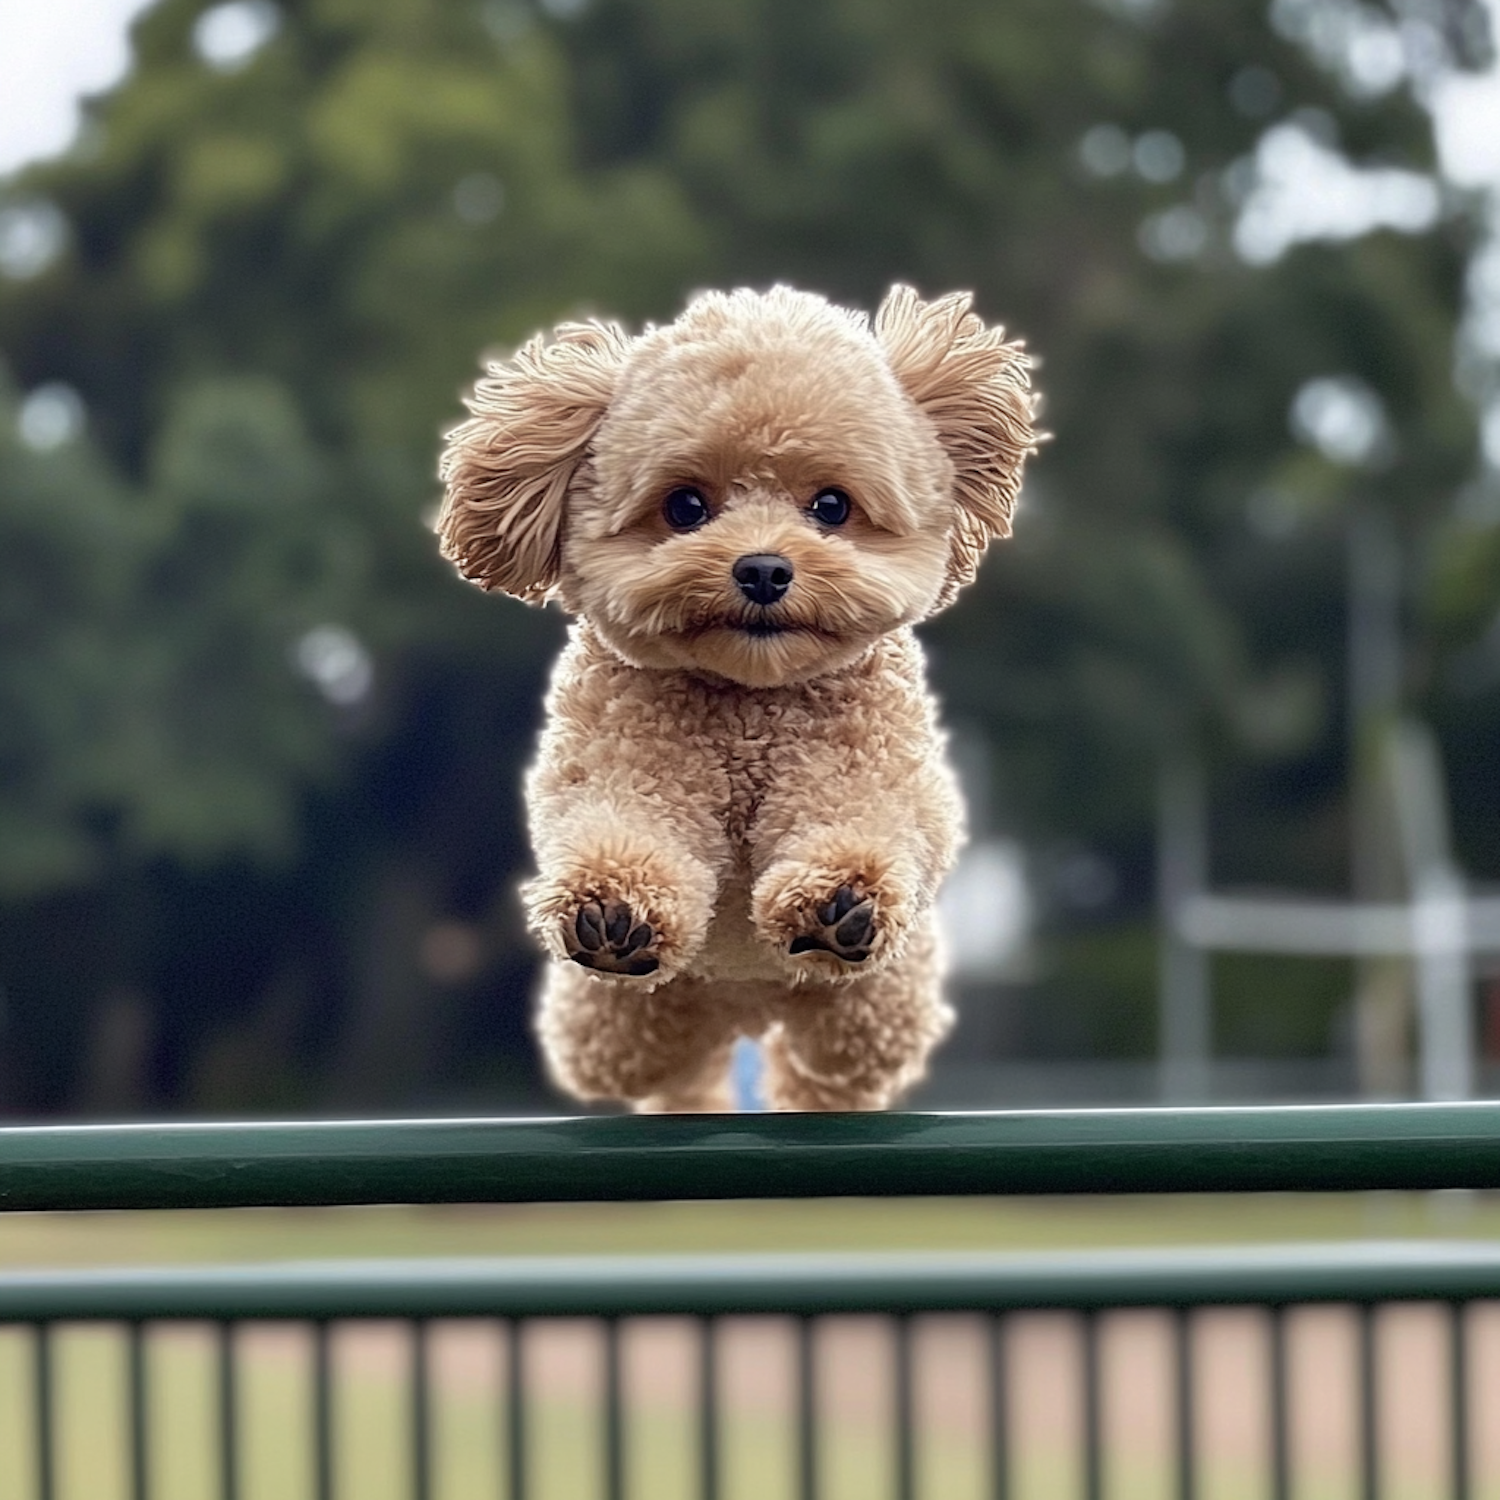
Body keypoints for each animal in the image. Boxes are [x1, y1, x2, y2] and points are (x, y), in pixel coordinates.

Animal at [438, 286, 1038, 1116]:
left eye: (831, 506)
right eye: (686, 507)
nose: (762, 570)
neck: (750, 703)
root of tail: (744, 1006)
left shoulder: (866, 769)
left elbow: (863, 821)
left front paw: (837, 898)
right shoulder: (626, 766)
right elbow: (624, 826)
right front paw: (615, 909)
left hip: (871, 1012)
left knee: (830, 1063)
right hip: (624, 1025)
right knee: (655, 1068)